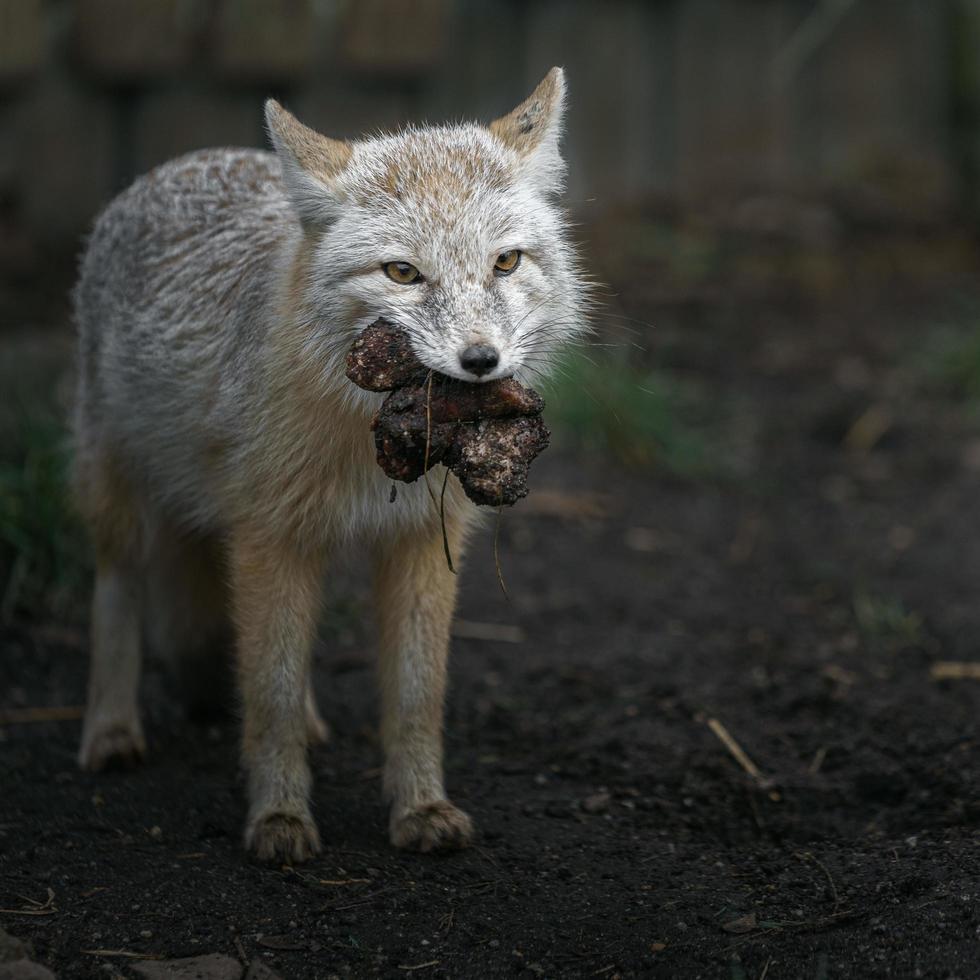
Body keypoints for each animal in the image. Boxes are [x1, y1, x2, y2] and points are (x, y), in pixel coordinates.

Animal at [72, 69, 588, 860]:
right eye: (403, 273)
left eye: (505, 261)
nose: (480, 362)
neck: (366, 454)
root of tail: (186, 160)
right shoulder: (267, 536)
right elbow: (271, 695)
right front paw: (279, 815)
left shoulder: (420, 543)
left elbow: (413, 695)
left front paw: (421, 806)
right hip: (120, 497)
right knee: (117, 595)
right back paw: (110, 727)